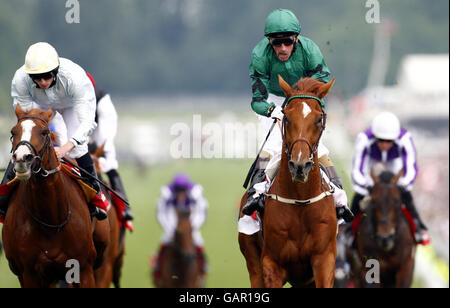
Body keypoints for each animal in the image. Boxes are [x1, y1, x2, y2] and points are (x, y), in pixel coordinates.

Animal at [2, 105, 108, 286]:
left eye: (44, 132)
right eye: (13, 131)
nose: (22, 159)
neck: (51, 220)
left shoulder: (84, 268)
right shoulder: (29, 273)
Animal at [239, 76, 338, 288]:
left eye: (319, 119)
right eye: (286, 117)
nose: (300, 165)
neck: (300, 200)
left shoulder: (324, 260)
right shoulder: (271, 264)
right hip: (253, 262)